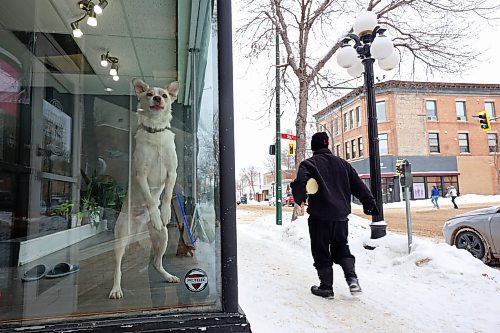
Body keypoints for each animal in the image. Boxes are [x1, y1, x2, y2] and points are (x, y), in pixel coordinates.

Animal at [109, 78, 182, 298]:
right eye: (149, 94)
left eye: (164, 95)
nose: (157, 98)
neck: (156, 133)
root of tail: (138, 228)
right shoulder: (141, 175)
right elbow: (150, 198)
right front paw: (156, 214)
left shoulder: (172, 173)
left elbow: (166, 195)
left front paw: (164, 214)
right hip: (121, 238)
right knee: (117, 267)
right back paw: (116, 289)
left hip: (163, 237)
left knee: (156, 262)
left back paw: (168, 276)